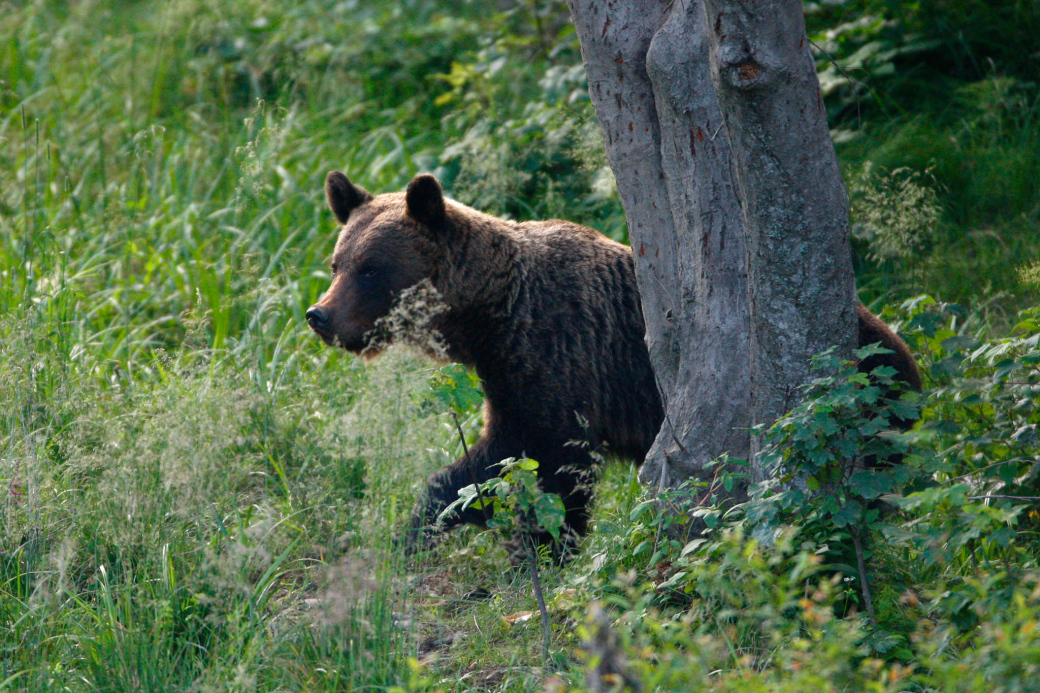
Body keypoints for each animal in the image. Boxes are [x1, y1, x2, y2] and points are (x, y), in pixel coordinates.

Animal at [305, 169, 919, 553]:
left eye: (371, 269)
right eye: (337, 262)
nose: (320, 316)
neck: (489, 317)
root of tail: (902, 349)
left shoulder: (557, 361)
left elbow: (536, 462)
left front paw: (539, 546)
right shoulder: (509, 374)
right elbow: (503, 464)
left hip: (860, 397)